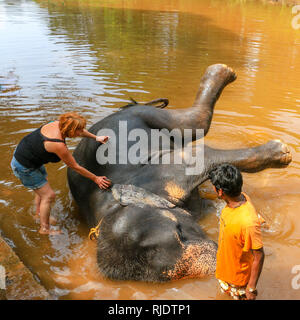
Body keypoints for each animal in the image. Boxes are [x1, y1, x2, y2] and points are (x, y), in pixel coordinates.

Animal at [67, 63, 292, 282]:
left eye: (180, 232)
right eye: (165, 276)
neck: (108, 212)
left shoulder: (164, 171)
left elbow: (201, 153)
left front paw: (282, 152)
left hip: (144, 115)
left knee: (193, 122)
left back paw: (222, 71)